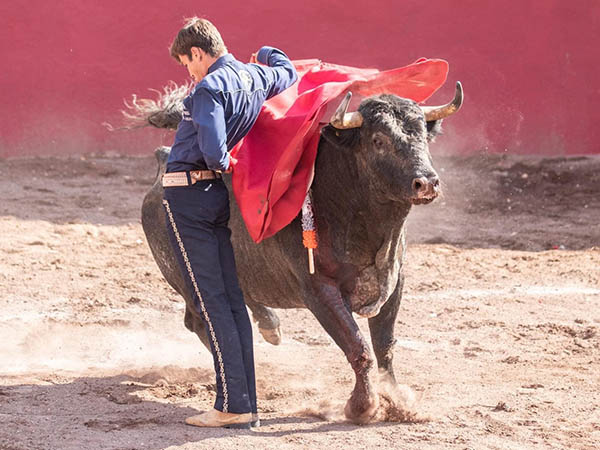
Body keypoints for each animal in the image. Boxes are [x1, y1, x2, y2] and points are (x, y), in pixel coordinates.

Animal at [143, 89, 462, 424]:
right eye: (378, 140)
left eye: (423, 136)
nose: (426, 182)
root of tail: (163, 165)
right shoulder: (318, 289)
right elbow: (358, 346)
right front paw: (362, 406)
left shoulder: (394, 282)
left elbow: (384, 346)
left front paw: (397, 400)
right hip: (188, 275)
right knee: (203, 321)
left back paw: (270, 327)